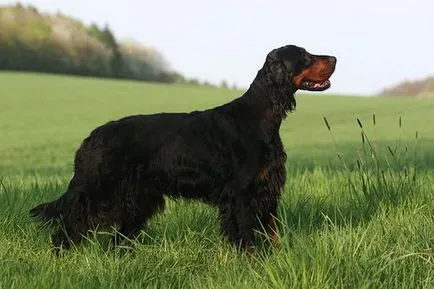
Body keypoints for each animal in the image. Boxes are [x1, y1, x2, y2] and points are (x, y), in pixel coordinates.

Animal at [30, 44, 338, 251]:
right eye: (304, 56)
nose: (335, 57)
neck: (260, 117)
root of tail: (90, 138)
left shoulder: (268, 189)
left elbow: (273, 235)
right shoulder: (242, 193)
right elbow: (246, 238)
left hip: (138, 199)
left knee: (118, 238)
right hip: (98, 191)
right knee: (68, 226)